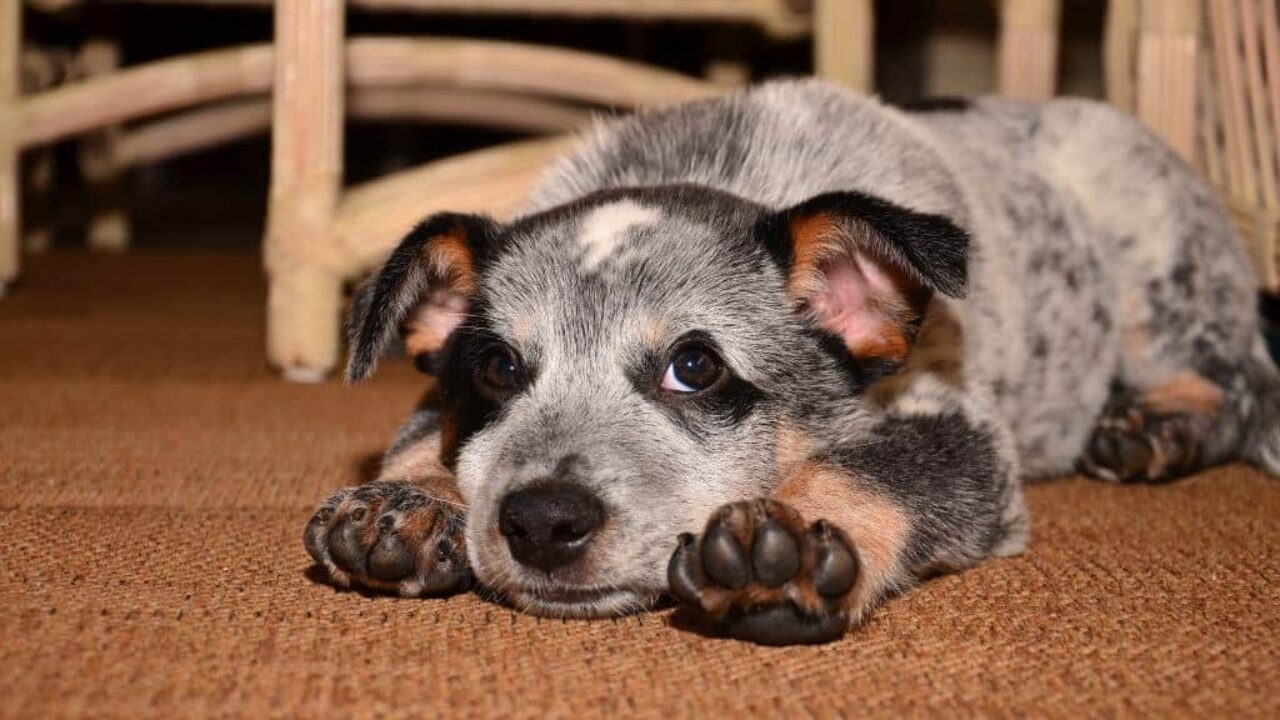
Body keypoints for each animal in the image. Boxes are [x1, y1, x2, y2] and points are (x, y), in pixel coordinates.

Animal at [302, 79, 1280, 645]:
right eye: (500, 369)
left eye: (695, 367)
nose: (542, 520)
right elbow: (423, 433)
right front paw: (406, 503)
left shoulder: (955, 424)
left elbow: (871, 470)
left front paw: (791, 549)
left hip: (1161, 271)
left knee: (1240, 383)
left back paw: (1154, 428)